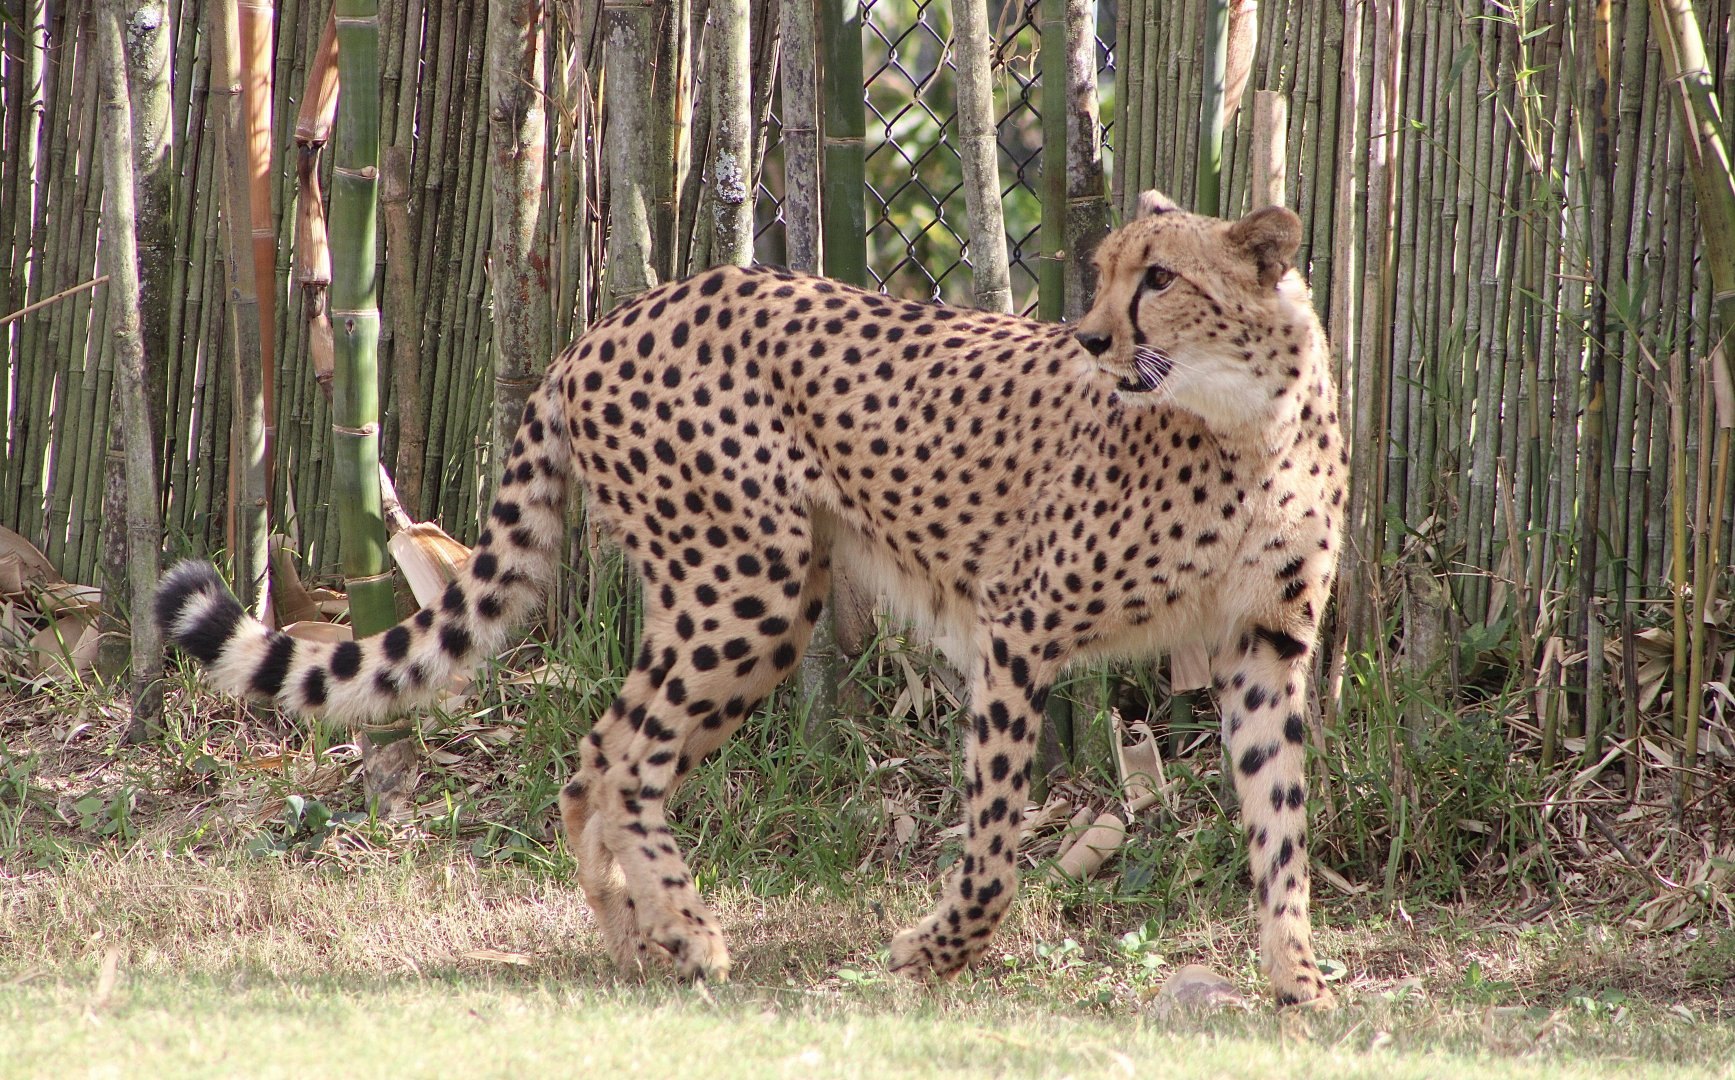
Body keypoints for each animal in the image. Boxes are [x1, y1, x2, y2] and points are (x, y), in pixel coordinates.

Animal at [156, 189, 1345, 1007]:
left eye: (1160, 277)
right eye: (1107, 273)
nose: (1092, 338)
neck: (1244, 423)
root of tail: (614, 316)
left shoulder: (1265, 646)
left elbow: (1280, 822)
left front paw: (1298, 980)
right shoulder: (1016, 628)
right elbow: (996, 841)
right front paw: (937, 952)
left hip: (737, 595)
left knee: (595, 755)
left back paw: (634, 939)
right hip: (747, 587)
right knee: (630, 755)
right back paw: (687, 933)